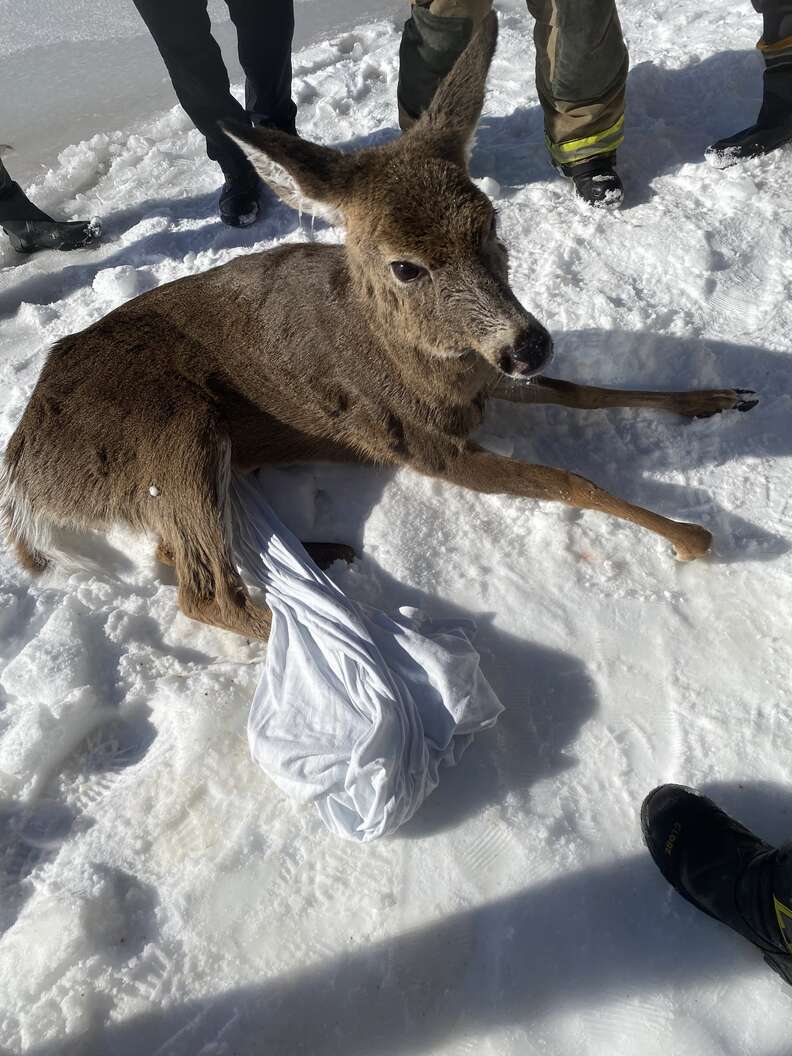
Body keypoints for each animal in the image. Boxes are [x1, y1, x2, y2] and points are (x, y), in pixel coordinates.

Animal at [0, 14, 756, 642]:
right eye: (404, 266)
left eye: (490, 222)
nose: (530, 343)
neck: (429, 365)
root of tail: (26, 472)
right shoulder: (420, 442)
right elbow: (571, 480)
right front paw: (691, 536)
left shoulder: (485, 378)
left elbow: (588, 392)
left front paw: (719, 398)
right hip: (170, 433)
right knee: (205, 594)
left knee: (176, 558)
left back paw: (328, 558)